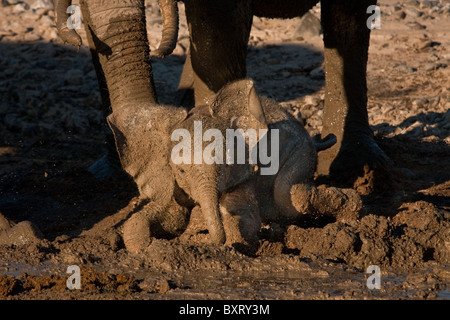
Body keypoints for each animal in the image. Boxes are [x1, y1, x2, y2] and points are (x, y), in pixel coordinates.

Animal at [108, 79, 362, 251]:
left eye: (225, 165)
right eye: (180, 171)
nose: (209, 239)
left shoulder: (245, 172)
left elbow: (243, 215)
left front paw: (233, 244)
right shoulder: (174, 183)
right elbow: (171, 216)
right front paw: (143, 249)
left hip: (300, 151)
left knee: (291, 197)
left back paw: (352, 215)